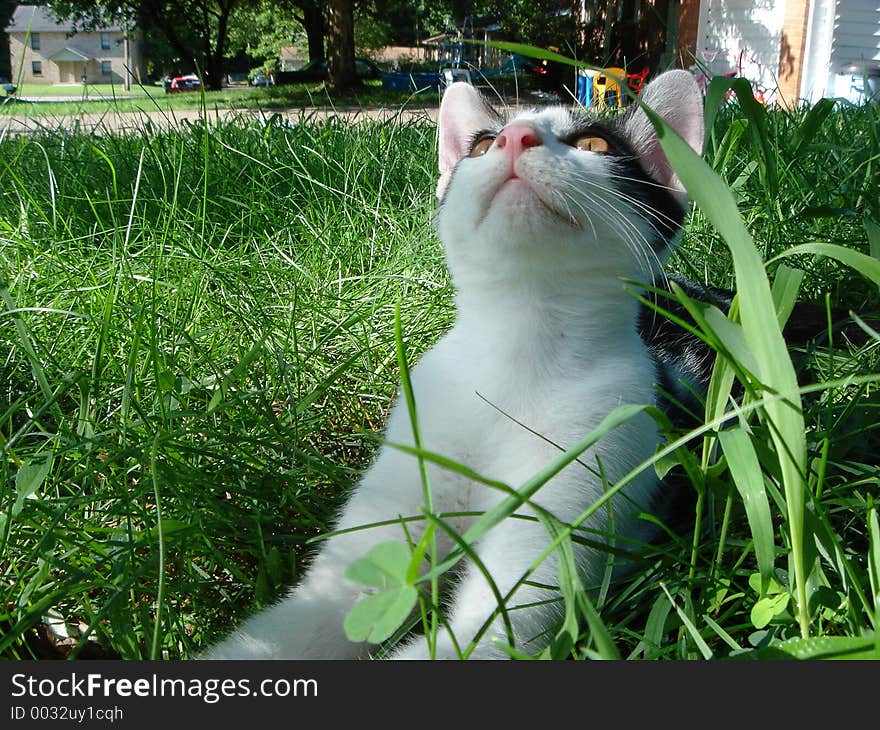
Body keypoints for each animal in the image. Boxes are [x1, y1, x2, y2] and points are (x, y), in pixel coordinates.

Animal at [205, 71, 700, 656]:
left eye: (595, 143)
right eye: (483, 145)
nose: (515, 138)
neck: (514, 357)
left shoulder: (603, 445)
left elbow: (488, 631)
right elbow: (312, 611)